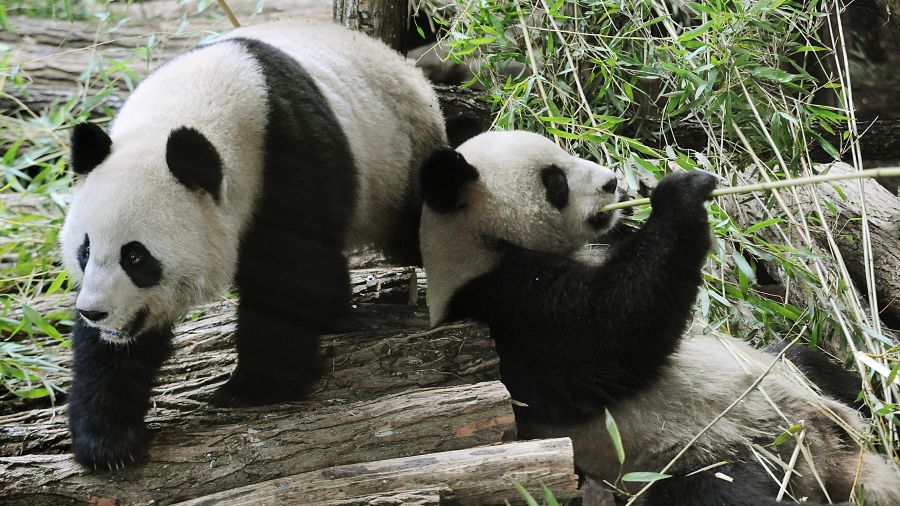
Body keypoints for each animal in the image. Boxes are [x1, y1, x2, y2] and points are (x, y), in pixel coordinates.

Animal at [60, 20, 447, 469]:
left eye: (135, 256)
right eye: (85, 250)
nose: (95, 312)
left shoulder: (285, 153)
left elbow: (288, 274)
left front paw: (253, 388)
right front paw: (108, 439)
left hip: (399, 160)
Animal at [418, 131, 900, 505]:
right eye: (554, 181)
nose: (613, 181)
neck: (478, 245)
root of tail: (829, 455)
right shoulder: (505, 312)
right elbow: (609, 330)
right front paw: (679, 195)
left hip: (789, 381)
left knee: (810, 361)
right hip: (712, 454)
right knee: (717, 493)